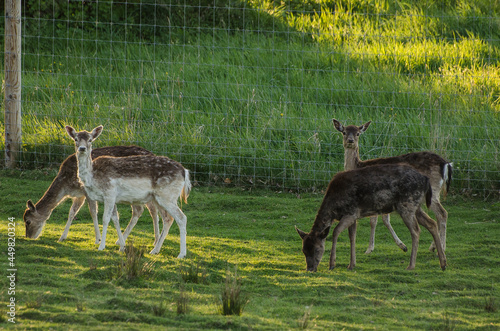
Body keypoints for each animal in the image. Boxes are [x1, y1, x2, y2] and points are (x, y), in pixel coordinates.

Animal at [65, 126, 190, 258]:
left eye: (90, 139)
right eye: (76, 139)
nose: (82, 148)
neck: (92, 177)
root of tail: (185, 172)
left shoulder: (109, 193)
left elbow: (105, 219)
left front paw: (101, 246)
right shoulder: (111, 198)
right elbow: (115, 219)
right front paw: (122, 246)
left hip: (167, 196)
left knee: (182, 217)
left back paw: (181, 254)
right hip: (158, 198)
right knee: (168, 218)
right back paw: (155, 250)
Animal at [294, 165, 448, 274]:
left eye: (317, 249)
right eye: (304, 250)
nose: (310, 269)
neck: (334, 208)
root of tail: (426, 180)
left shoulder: (351, 212)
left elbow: (335, 232)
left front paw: (332, 264)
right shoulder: (354, 216)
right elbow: (352, 236)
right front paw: (351, 264)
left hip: (407, 205)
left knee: (416, 230)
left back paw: (411, 265)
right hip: (417, 206)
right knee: (431, 223)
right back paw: (443, 263)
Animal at [332, 120, 454, 254]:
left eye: (358, 133)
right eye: (344, 132)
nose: (350, 141)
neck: (359, 166)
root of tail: (445, 164)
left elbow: (375, 221)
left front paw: (370, 248)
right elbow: (383, 220)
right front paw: (401, 246)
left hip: (432, 191)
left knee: (442, 213)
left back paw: (441, 247)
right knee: (439, 215)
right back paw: (434, 246)